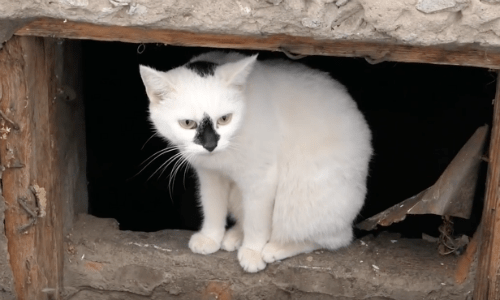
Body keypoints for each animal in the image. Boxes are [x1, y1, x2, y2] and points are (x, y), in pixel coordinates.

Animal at [139, 51, 374, 272]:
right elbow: (212, 207)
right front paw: (211, 237)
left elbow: (257, 221)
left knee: (332, 238)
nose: (210, 145)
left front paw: (252, 252)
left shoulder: (261, 180)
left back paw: (275, 248)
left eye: (225, 119)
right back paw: (234, 235)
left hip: (300, 199)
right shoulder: (210, 175)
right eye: (188, 123)